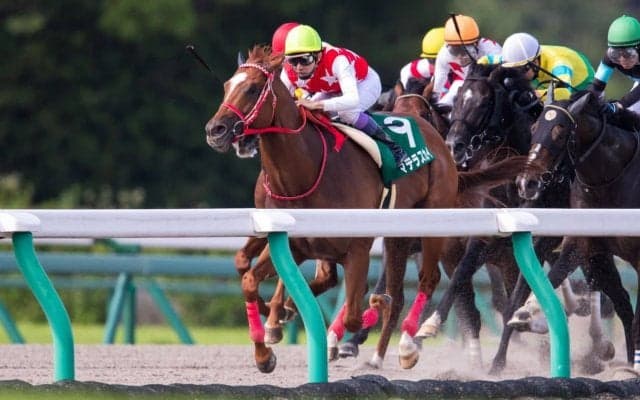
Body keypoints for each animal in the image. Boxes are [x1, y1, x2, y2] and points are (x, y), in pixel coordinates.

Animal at [514, 90, 640, 371]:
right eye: (534, 128)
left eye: (560, 132)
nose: (527, 182)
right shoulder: (585, 242)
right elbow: (556, 273)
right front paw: (527, 313)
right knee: (623, 302)